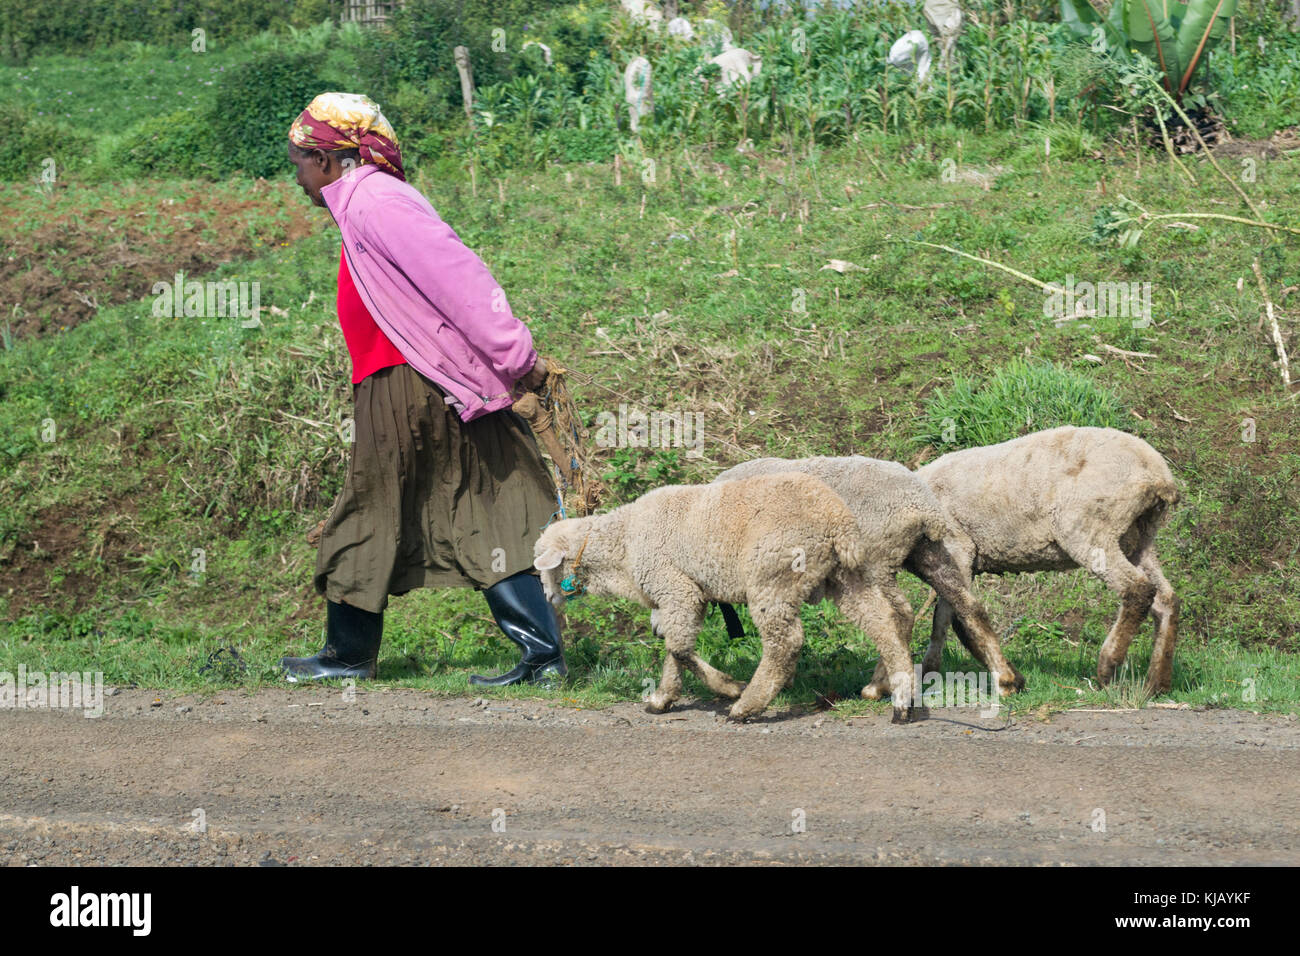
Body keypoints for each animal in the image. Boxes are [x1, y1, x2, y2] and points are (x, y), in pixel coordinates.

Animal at [533, 473, 917, 723]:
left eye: (542, 567)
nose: (548, 598)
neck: (622, 544)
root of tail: (837, 521)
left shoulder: (677, 589)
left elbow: (679, 649)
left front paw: (728, 687)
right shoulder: (680, 596)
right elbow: (674, 646)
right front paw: (662, 698)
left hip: (773, 575)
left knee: (785, 642)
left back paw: (747, 706)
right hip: (846, 575)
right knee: (882, 622)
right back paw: (900, 698)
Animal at [714, 457, 1025, 702]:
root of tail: (922, 509)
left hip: (877, 559)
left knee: (898, 616)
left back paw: (879, 685)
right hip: (929, 552)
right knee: (968, 605)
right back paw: (1006, 679)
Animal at [916, 426, 1181, 694]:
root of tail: (1158, 474)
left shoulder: (957, 546)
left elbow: (962, 621)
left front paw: (1008, 680)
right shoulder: (955, 560)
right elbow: (944, 619)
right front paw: (928, 673)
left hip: (1090, 528)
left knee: (1138, 589)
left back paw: (1108, 667)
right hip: (1139, 535)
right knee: (1166, 599)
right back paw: (1158, 683)